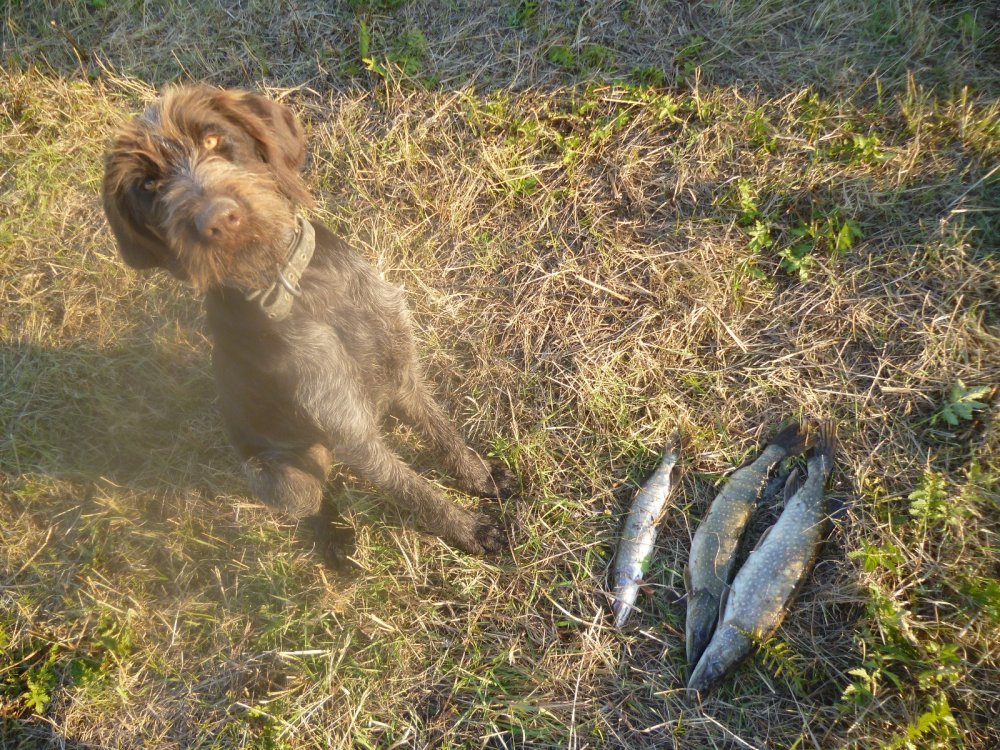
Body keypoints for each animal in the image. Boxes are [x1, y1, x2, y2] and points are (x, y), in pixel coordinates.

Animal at [103, 86, 516, 560]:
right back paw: (334, 540)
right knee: (318, 496)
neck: (299, 286)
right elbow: (412, 488)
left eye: (212, 139)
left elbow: (442, 434)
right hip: (286, 478)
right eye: (149, 186)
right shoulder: (351, 432)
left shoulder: (403, 372)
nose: (218, 220)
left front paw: (480, 475)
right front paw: (467, 528)